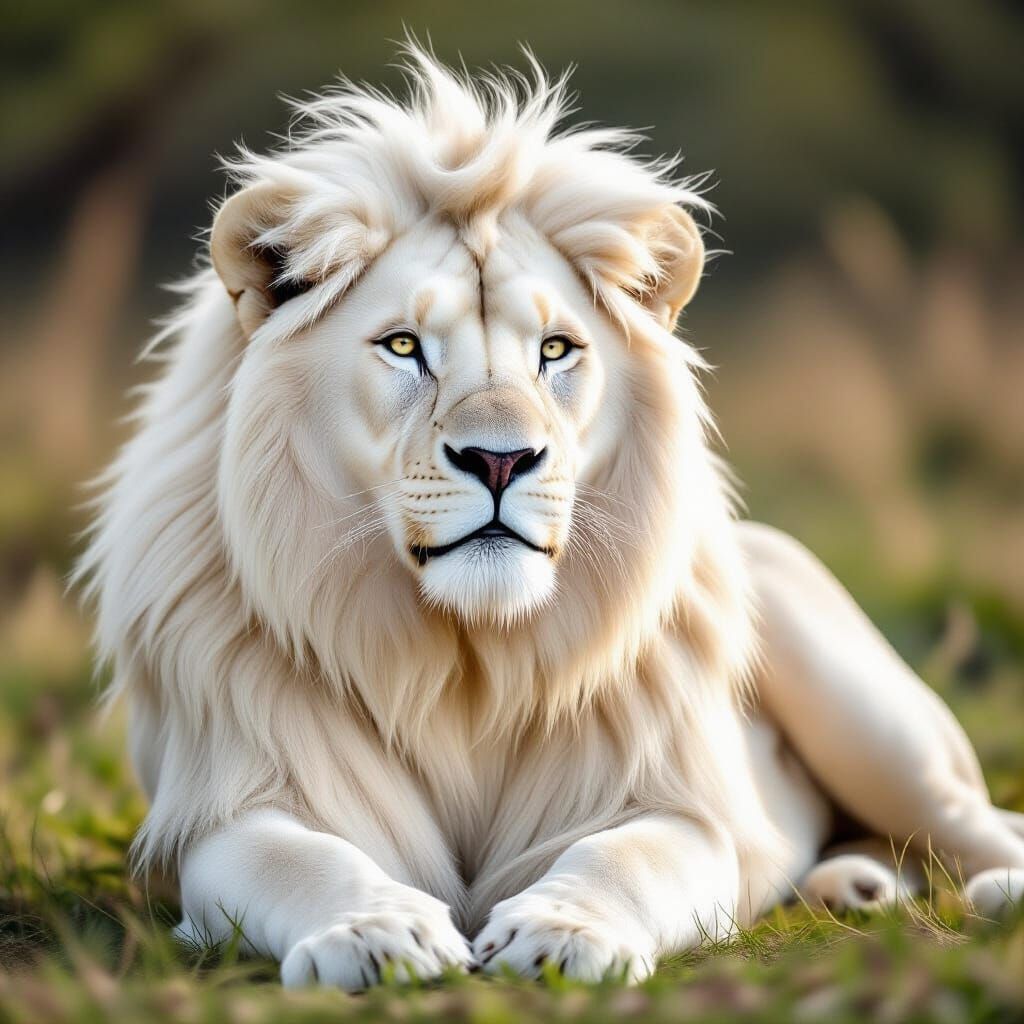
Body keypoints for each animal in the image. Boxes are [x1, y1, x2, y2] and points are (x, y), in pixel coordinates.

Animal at [76, 47, 1024, 989]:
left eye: (557, 351)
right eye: (403, 346)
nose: (501, 460)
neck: (466, 664)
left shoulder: (681, 807)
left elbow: (620, 858)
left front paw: (561, 936)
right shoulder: (227, 804)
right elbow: (303, 859)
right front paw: (376, 934)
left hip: (872, 725)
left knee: (971, 821)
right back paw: (855, 886)